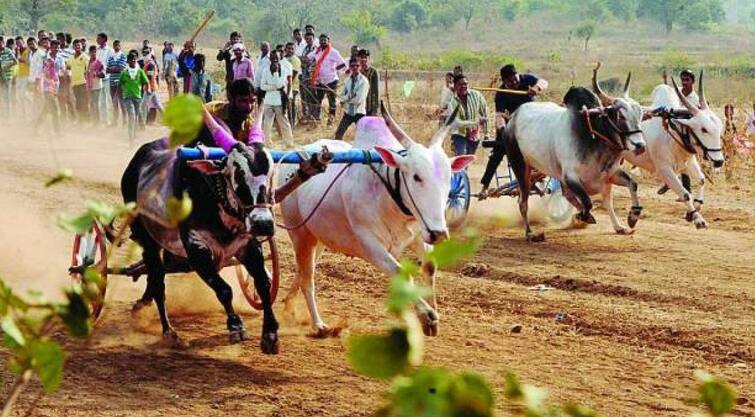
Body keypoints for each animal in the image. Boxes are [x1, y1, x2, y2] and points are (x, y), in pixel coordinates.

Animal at [121, 138, 328, 352]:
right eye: (237, 175)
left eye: (271, 175)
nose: (262, 224)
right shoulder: (197, 252)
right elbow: (224, 289)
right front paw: (236, 326)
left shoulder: (248, 246)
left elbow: (263, 284)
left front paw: (270, 334)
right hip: (147, 241)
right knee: (158, 283)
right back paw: (169, 332)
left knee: (156, 275)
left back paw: (143, 304)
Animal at [280, 106, 476, 334]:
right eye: (417, 176)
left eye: (448, 178)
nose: (439, 234)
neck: (389, 195)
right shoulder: (370, 246)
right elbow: (402, 273)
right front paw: (427, 315)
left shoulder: (418, 235)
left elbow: (429, 267)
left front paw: (431, 316)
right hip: (299, 234)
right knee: (308, 279)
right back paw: (318, 323)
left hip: (317, 237)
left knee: (303, 270)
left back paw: (288, 305)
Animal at [620, 70, 728, 228]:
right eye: (704, 129)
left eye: (719, 127)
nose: (719, 161)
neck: (672, 135)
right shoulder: (664, 169)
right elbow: (685, 194)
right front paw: (697, 218)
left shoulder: (688, 163)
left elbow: (701, 180)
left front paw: (695, 208)